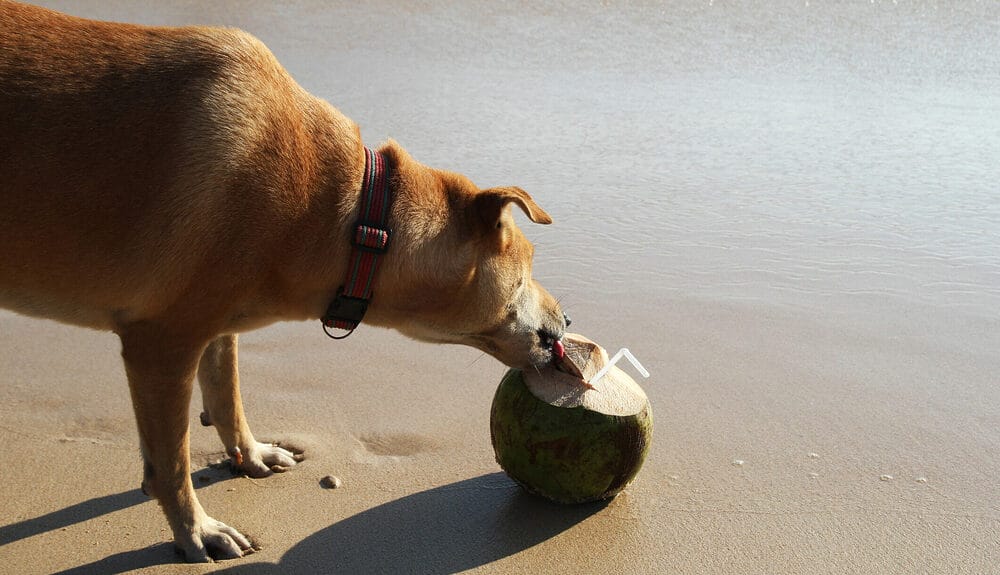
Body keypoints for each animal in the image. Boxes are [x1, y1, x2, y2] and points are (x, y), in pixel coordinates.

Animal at [0, 2, 568, 564]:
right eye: (527, 270)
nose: (566, 319)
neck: (358, 221)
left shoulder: (212, 325)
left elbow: (226, 392)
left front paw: (248, 455)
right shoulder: (160, 342)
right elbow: (171, 464)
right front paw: (195, 530)